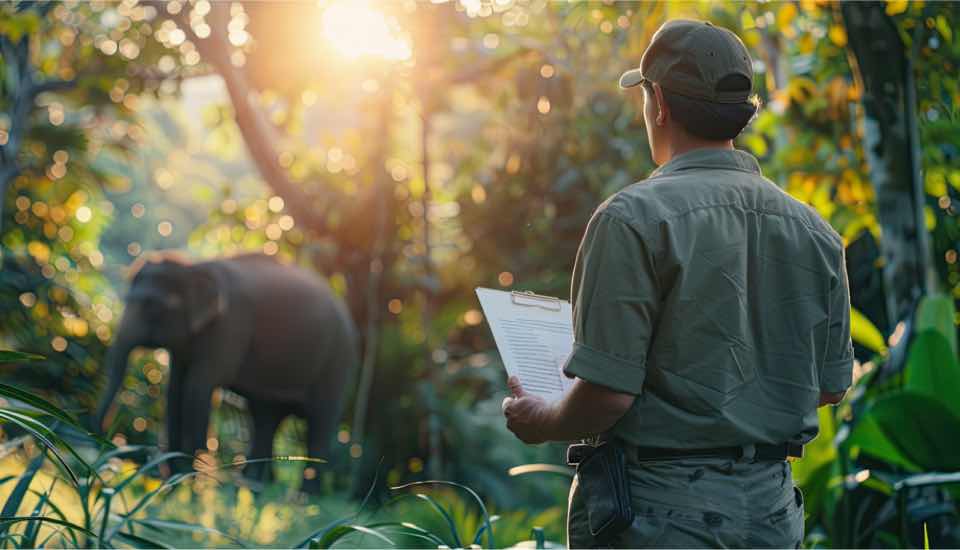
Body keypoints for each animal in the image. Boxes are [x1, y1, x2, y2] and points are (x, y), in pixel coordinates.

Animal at [94, 252, 360, 494]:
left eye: (153, 306)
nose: (108, 447)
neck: (193, 267)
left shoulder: (230, 327)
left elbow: (198, 387)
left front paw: (188, 485)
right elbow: (176, 389)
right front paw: (172, 484)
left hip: (337, 359)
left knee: (320, 420)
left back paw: (304, 498)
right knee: (265, 416)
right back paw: (252, 485)